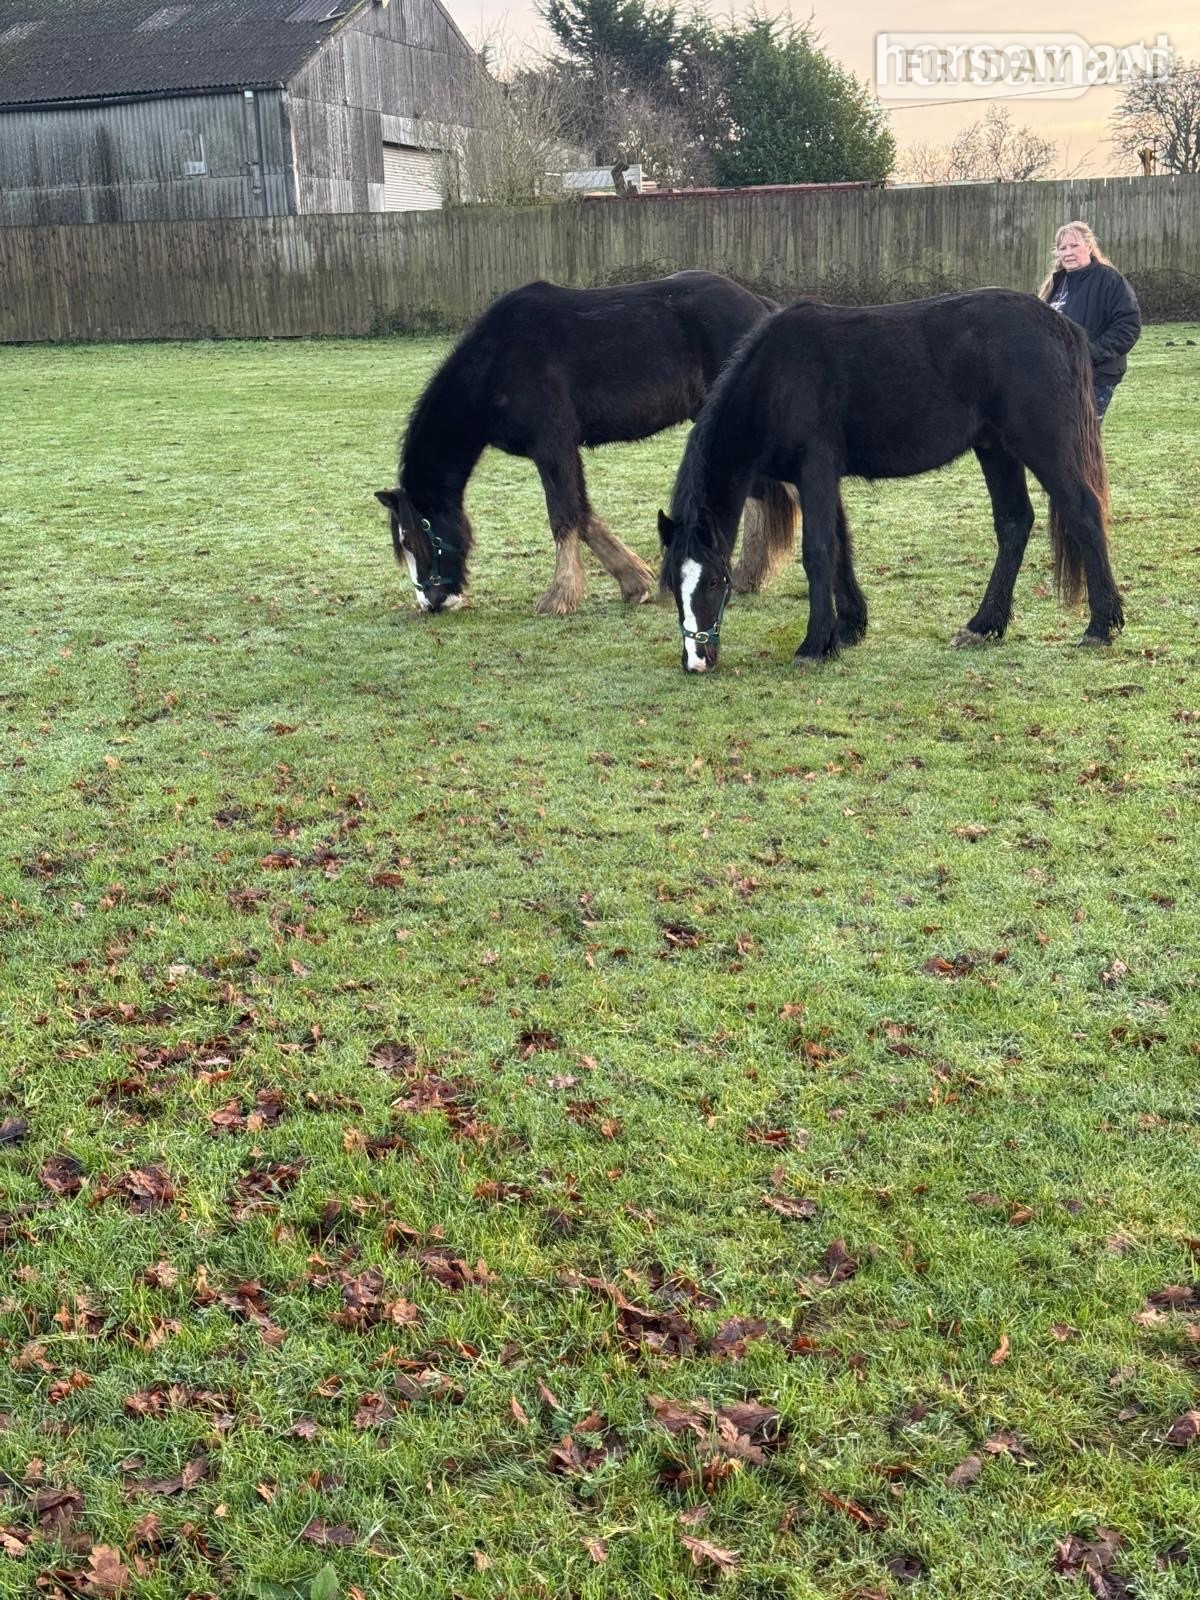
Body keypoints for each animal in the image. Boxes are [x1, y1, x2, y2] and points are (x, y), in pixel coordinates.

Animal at [375, 271, 794, 616]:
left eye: (418, 536)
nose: (432, 601)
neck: (497, 364)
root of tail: (760, 307)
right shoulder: (564, 450)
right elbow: (583, 513)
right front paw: (634, 583)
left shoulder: (552, 445)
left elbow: (563, 516)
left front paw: (559, 598)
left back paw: (747, 574)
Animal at [658, 288, 1122, 673]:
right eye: (673, 584)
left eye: (715, 580)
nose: (696, 661)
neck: (777, 378)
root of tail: (1062, 326)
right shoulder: (821, 478)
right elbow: (841, 547)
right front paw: (847, 629)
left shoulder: (815, 469)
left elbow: (818, 552)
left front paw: (814, 645)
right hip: (995, 448)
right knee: (1013, 523)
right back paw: (982, 625)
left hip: (1041, 445)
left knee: (1083, 513)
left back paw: (1100, 627)